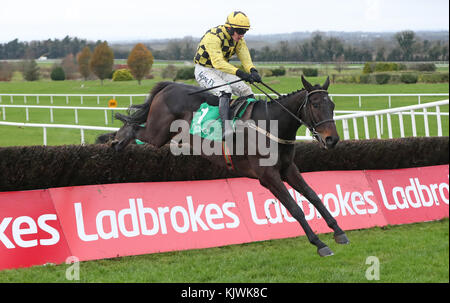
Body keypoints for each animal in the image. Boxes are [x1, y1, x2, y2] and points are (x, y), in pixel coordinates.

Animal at [111, 76, 348, 256]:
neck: (272, 125)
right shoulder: (268, 176)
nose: (332, 140)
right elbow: (295, 208)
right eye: (315, 105)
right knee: (133, 127)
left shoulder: (288, 168)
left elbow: (314, 196)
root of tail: (169, 86)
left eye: (333, 106)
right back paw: (117, 141)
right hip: (158, 133)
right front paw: (319, 243)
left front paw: (338, 231)